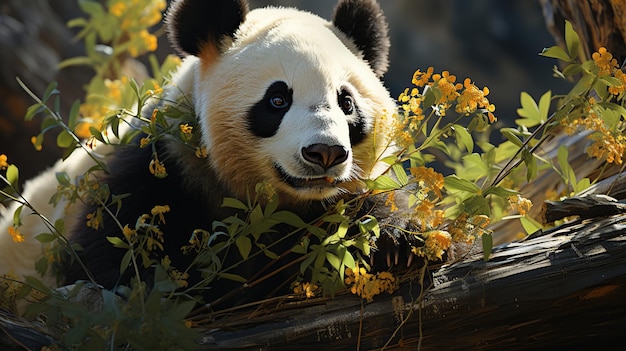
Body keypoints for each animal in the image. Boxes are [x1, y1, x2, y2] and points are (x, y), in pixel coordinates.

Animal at [2, 0, 416, 310]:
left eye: (347, 103)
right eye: (277, 99)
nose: (326, 152)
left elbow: (378, 204)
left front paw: (395, 244)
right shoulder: (162, 167)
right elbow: (112, 251)